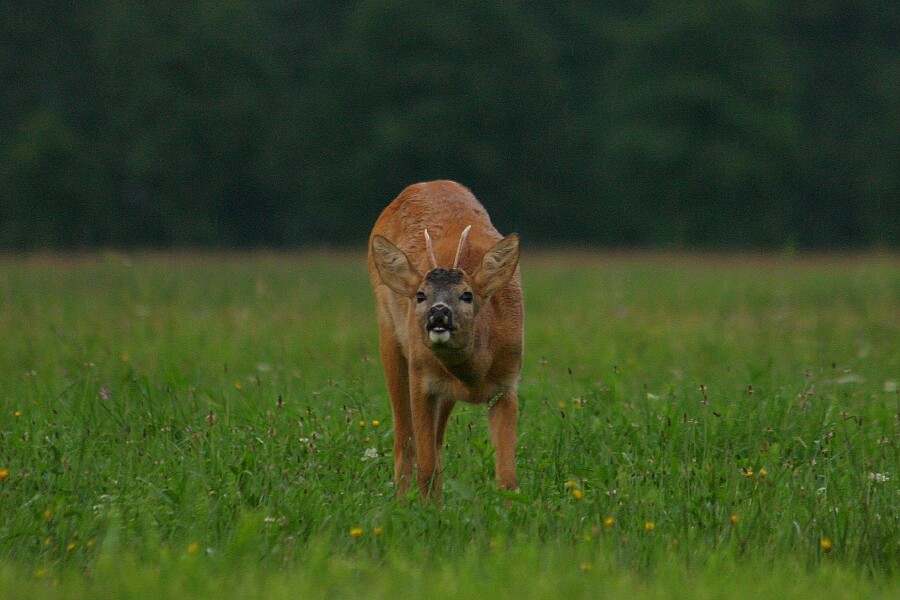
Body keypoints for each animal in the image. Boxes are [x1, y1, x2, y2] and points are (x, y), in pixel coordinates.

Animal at [370, 180, 524, 500]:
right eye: (420, 295)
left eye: (467, 294)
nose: (439, 311)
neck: (476, 375)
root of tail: (425, 183)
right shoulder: (422, 379)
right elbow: (425, 466)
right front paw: (426, 509)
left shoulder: (507, 384)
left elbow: (507, 478)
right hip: (389, 337)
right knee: (404, 440)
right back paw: (401, 500)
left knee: (436, 442)